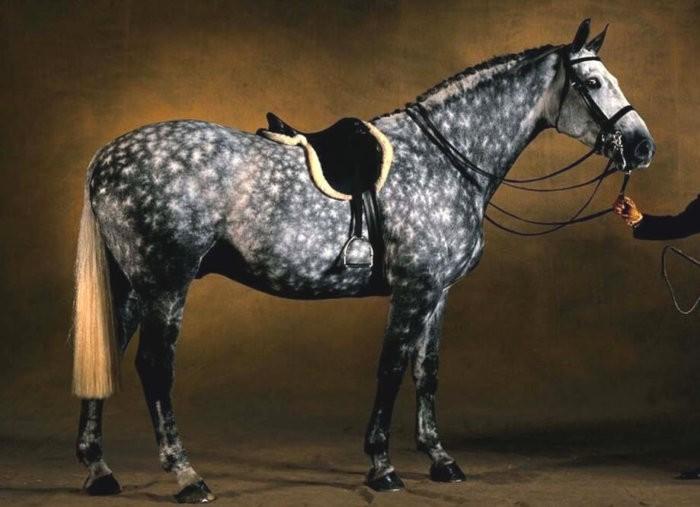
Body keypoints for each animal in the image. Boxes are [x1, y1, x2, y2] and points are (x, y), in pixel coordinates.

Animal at [72, 19, 655, 503]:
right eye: (592, 83)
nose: (641, 145)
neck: (444, 158)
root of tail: (105, 159)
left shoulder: (438, 294)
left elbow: (427, 370)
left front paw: (440, 460)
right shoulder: (414, 289)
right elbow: (391, 368)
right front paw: (382, 467)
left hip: (130, 287)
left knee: (108, 355)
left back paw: (99, 471)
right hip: (165, 284)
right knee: (154, 367)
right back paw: (186, 476)